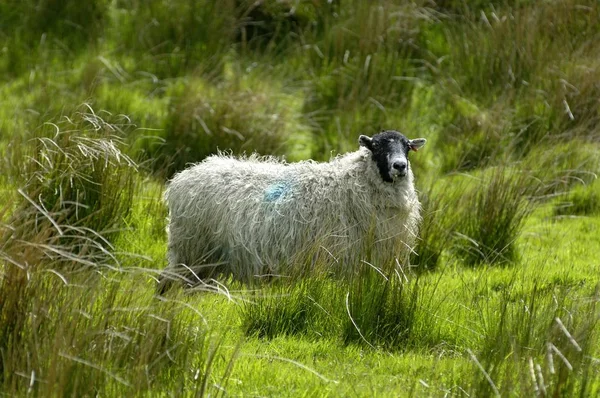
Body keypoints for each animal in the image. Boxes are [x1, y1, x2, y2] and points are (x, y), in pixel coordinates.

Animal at [157, 131, 424, 292]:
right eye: (377, 146)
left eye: (407, 147)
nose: (400, 166)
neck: (353, 183)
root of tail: (184, 176)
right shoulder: (347, 260)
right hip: (191, 248)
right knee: (165, 282)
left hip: (202, 257)